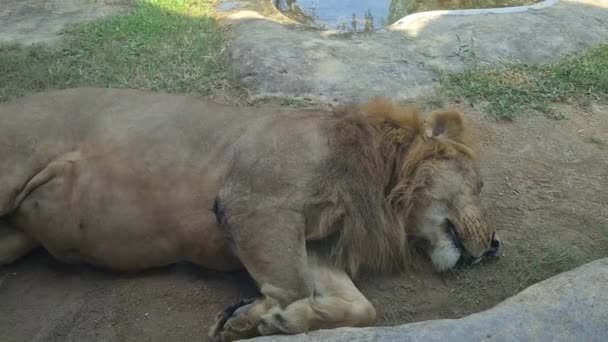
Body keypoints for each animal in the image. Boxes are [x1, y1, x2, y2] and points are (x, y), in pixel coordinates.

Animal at [0, 89, 502, 342]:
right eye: (478, 185)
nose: (497, 246)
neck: (382, 185)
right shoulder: (256, 204)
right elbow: (293, 286)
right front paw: (249, 317)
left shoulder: (316, 245)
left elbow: (362, 308)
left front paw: (278, 321)